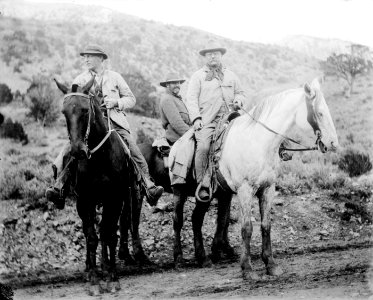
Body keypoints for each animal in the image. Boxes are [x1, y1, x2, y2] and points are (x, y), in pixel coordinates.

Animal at [54, 78, 147, 294]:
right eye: (64, 112)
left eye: (85, 110)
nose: (78, 150)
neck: (99, 159)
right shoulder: (85, 200)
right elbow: (91, 237)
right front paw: (95, 280)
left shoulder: (115, 198)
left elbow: (109, 234)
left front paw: (111, 277)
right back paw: (90, 270)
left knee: (109, 230)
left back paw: (105, 267)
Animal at [170, 77, 338, 276]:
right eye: (320, 113)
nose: (333, 143)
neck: (258, 141)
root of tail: (175, 147)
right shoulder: (245, 190)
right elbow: (247, 228)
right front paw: (247, 268)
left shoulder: (268, 189)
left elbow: (266, 225)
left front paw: (270, 264)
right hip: (179, 191)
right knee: (178, 221)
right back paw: (179, 259)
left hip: (211, 195)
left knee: (197, 219)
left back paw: (203, 258)